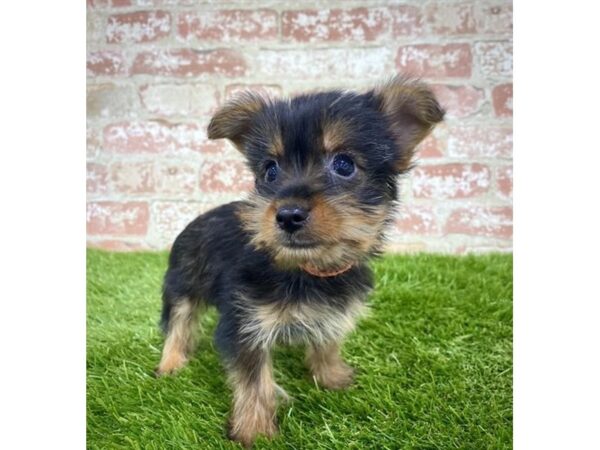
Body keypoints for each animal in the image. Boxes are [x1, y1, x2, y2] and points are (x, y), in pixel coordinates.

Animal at [155, 74, 446, 446]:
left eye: (344, 164)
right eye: (270, 171)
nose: (287, 215)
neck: (307, 268)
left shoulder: (333, 310)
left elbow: (327, 342)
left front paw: (332, 376)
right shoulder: (245, 322)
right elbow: (253, 380)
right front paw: (255, 431)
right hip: (183, 281)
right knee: (179, 322)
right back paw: (171, 364)